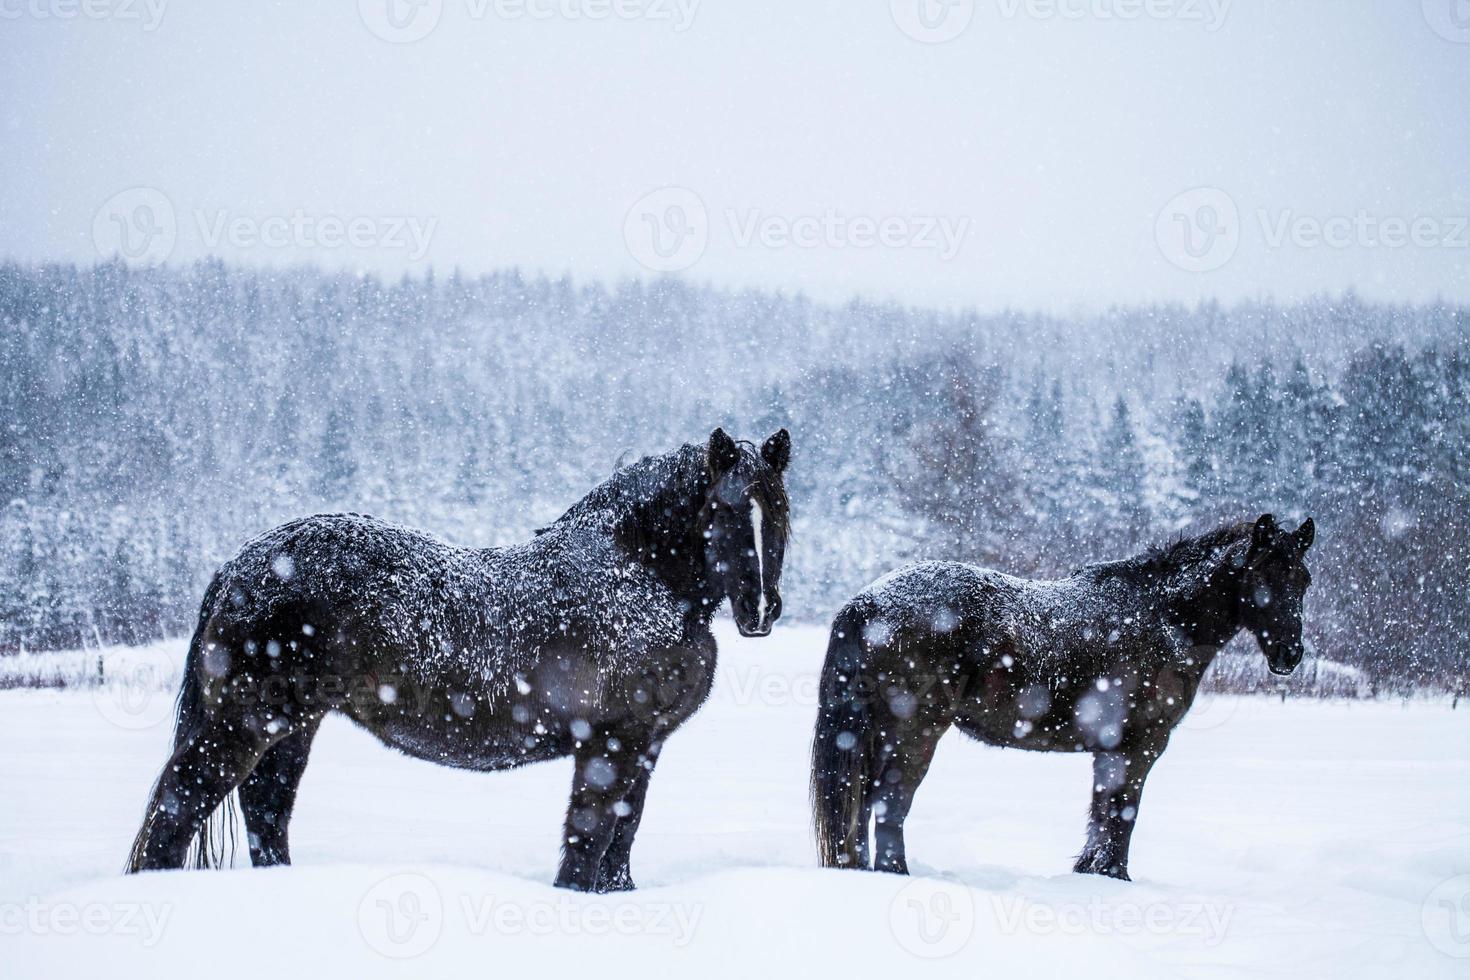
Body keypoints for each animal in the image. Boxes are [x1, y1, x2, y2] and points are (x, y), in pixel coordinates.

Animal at [127, 426, 793, 893]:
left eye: (780, 511)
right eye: (727, 510)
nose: (762, 609)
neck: (640, 573)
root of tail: (239, 566)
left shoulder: (647, 744)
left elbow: (621, 840)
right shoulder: (611, 742)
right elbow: (589, 838)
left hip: (294, 727)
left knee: (266, 811)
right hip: (247, 721)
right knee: (179, 803)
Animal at [817, 517, 1323, 887]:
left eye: (1302, 579)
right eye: (1261, 577)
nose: (1290, 654)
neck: (1163, 617)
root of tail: (868, 601)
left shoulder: (1111, 751)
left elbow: (1102, 813)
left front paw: (1091, 876)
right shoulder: (1139, 747)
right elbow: (1122, 815)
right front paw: (1115, 879)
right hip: (913, 733)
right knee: (888, 802)